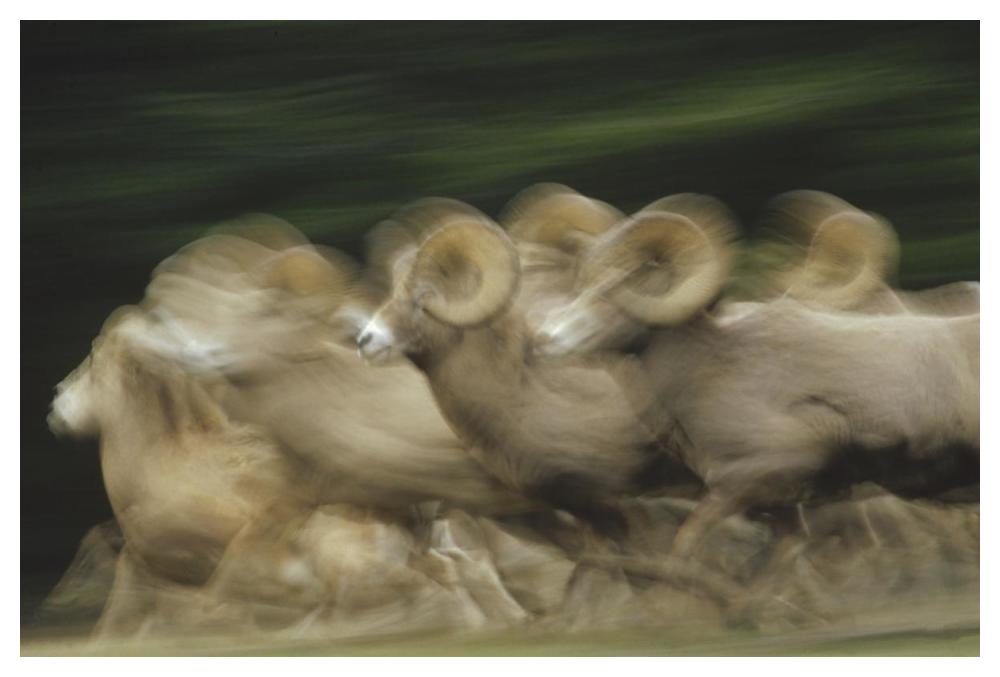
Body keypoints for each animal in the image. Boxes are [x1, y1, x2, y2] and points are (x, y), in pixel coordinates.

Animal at [534, 196, 979, 557]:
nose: (546, 337)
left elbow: (685, 545)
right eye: (581, 280)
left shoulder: (750, 480)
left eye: (623, 280)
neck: (712, 366)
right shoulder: (776, 510)